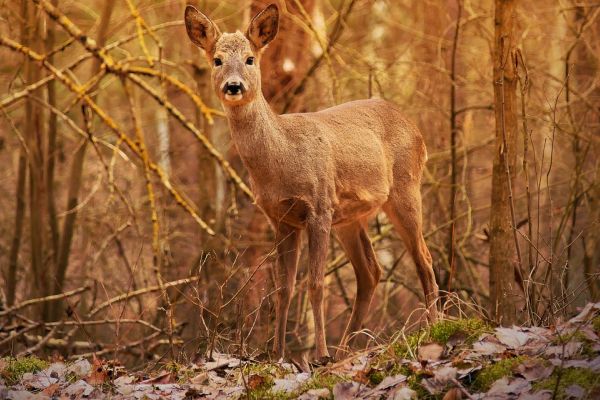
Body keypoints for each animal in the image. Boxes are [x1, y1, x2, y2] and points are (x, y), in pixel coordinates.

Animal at [185, 3, 438, 360]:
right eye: (217, 59)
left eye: (250, 58)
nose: (233, 86)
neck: (283, 158)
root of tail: (416, 130)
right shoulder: (281, 219)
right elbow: (283, 289)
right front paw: (277, 355)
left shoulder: (318, 206)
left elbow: (315, 284)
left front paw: (318, 354)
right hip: (349, 216)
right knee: (370, 271)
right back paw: (346, 347)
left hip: (404, 188)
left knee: (424, 259)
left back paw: (433, 328)